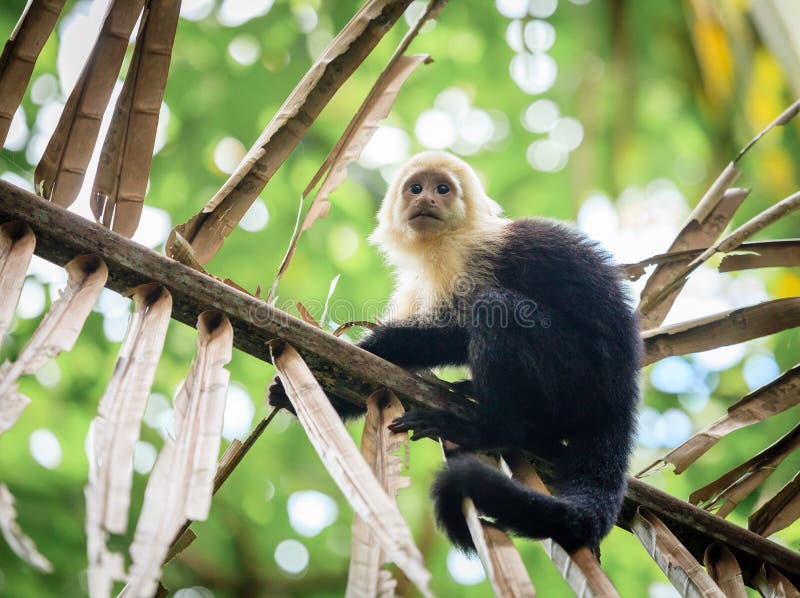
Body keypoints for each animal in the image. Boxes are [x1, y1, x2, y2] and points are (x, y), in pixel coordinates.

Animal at [272, 152, 640, 556]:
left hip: (577, 377)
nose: (426, 199)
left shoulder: (468, 254)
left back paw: (490, 428)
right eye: (416, 187)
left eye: (443, 189)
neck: (444, 240)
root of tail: (622, 393)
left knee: (496, 309)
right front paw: (321, 391)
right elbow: (381, 373)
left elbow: (452, 333)